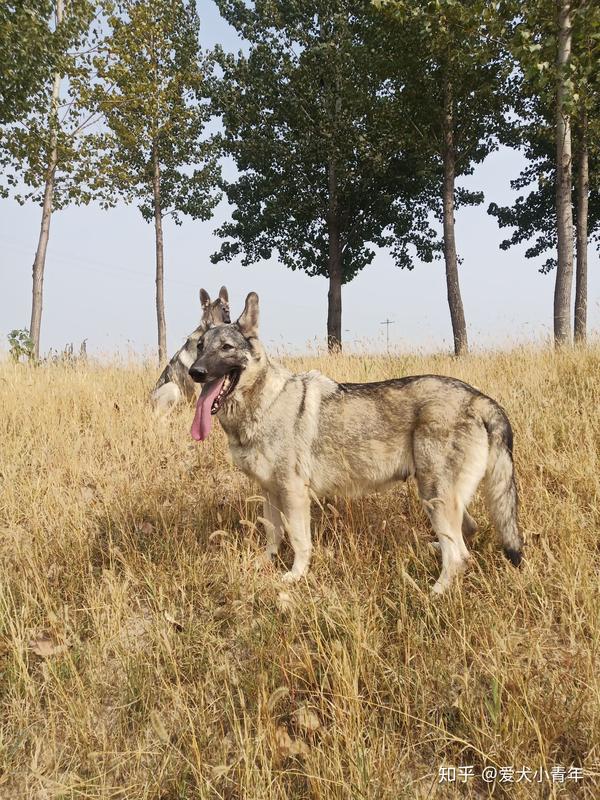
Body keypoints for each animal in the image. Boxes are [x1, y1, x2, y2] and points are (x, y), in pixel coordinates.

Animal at [188, 294, 520, 592]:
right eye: (200, 347)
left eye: (226, 348)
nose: (195, 372)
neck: (264, 403)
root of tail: (480, 398)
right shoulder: (269, 491)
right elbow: (272, 535)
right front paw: (264, 564)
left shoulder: (294, 493)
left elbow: (299, 541)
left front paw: (295, 577)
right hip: (438, 497)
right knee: (467, 533)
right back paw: (434, 550)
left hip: (434, 495)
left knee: (460, 556)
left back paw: (432, 594)